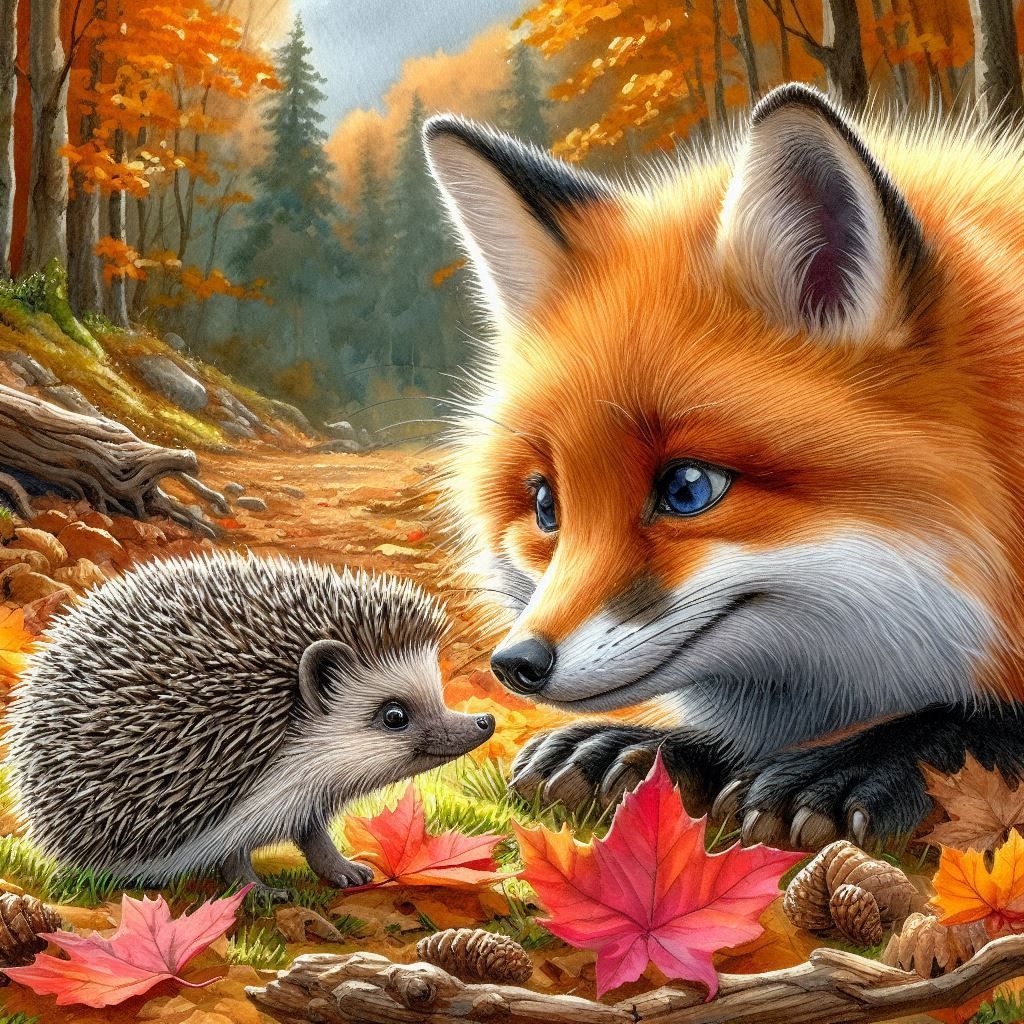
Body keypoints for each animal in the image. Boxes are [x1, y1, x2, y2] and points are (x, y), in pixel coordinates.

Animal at [421, 83, 1024, 851]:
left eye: (687, 488)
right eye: (546, 506)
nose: (515, 664)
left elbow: (972, 725)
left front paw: (856, 763)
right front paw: (647, 750)